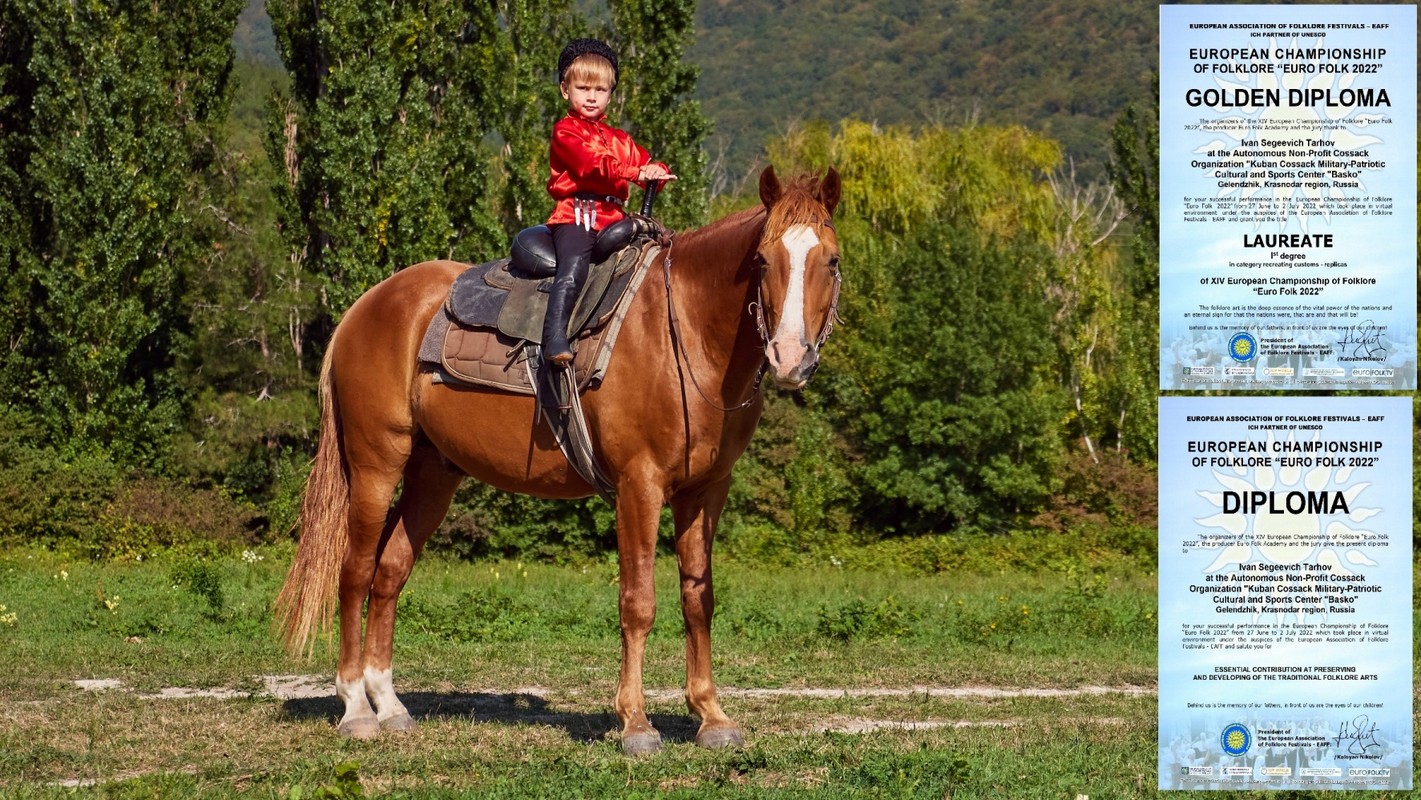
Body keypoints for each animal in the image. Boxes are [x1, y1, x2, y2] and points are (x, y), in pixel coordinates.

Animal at [271, 166, 835, 755]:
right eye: (763, 261)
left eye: (833, 261)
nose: (791, 358)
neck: (685, 329)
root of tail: (364, 309)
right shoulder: (639, 486)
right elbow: (638, 602)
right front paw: (635, 724)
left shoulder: (706, 492)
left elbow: (698, 599)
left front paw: (712, 717)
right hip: (376, 465)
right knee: (355, 572)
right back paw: (357, 709)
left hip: (433, 475)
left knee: (390, 571)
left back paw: (390, 706)